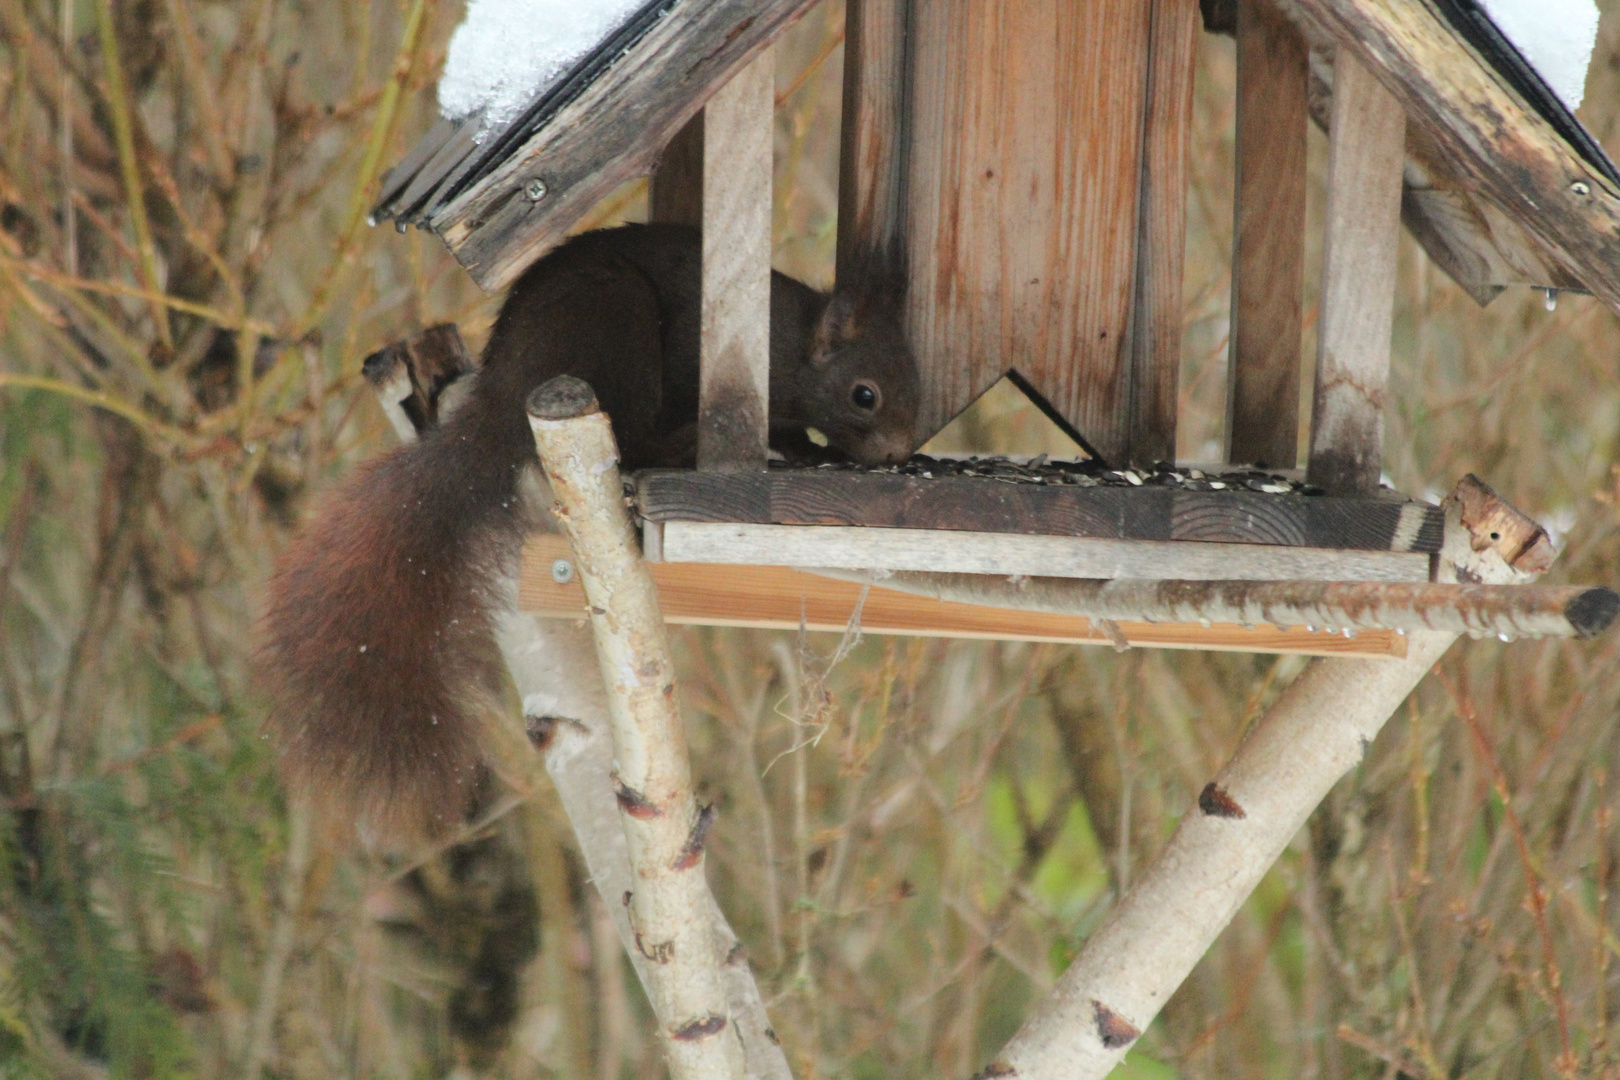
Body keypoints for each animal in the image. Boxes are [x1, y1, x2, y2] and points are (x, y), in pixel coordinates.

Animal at [262, 223, 926, 835]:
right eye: (864, 395)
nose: (897, 453)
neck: (790, 346)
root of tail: (503, 396)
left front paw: (813, 449)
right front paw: (798, 447)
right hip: (616, 327)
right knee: (633, 434)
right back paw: (677, 445)